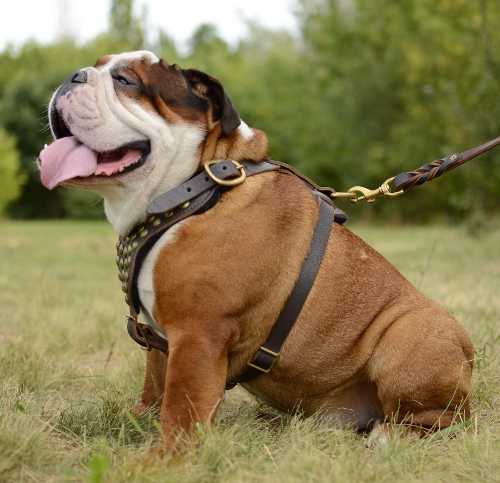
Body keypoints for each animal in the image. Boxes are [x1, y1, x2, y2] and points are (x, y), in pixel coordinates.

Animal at [38, 52, 472, 450]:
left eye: (126, 81)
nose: (72, 76)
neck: (197, 186)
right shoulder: (160, 338)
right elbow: (155, 387)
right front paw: (137, 422)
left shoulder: (199, 333)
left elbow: (180, 406)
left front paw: (163, 458)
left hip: (411, 332)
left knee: (443, 418)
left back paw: (391, 434)